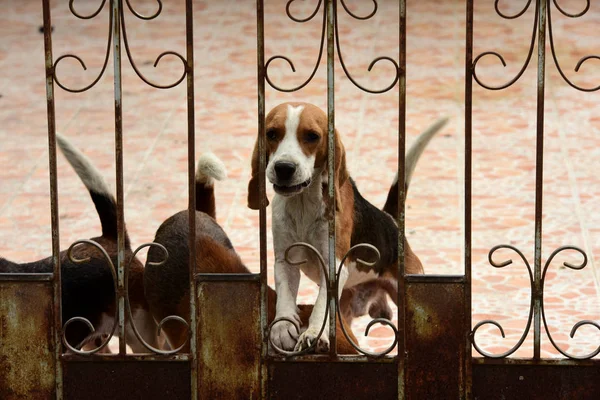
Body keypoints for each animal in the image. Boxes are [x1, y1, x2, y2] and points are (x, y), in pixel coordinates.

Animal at [246, 101, 448, 352]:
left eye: (312, 136)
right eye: (271, 133)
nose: (284, 168)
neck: (303, 202)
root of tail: (390, 219)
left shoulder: (332, 263)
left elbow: (321, 303)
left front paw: (314, 333)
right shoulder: (285, 261)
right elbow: (285, 294)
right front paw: (282, 328)